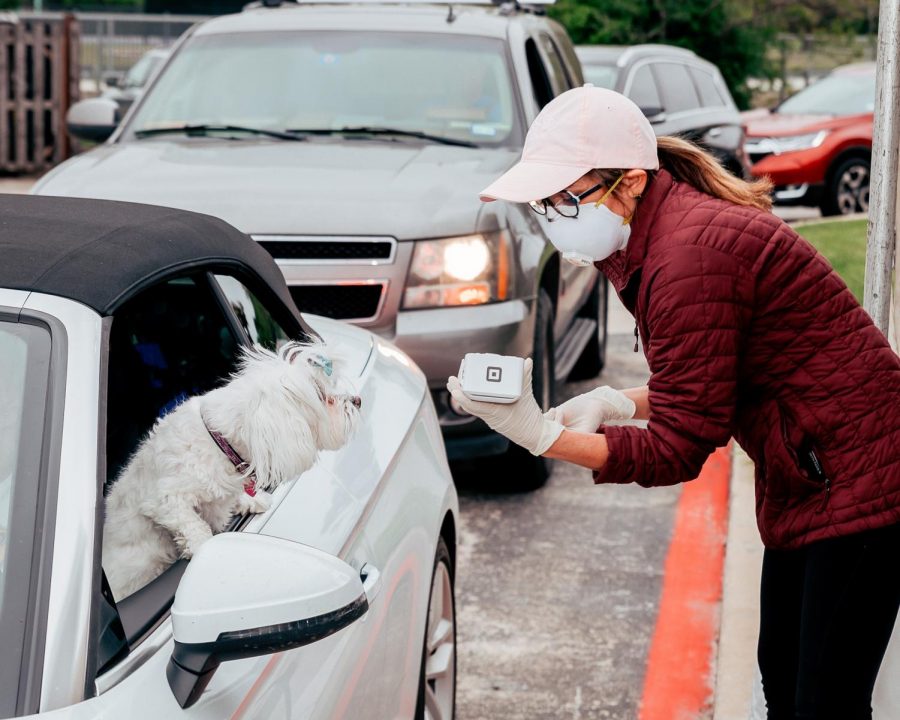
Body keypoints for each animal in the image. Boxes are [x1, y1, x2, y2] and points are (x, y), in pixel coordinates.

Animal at [103, 340, 358, 600]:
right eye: (322, 396)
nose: (357, 400)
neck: (219, 440)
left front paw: (250, 500)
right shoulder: (164, 499)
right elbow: (193, 524)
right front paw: (202, 548)